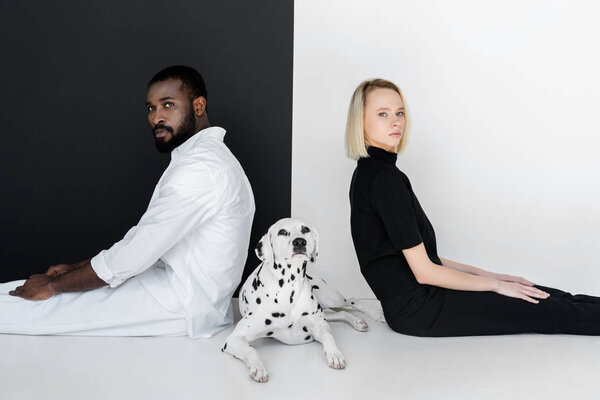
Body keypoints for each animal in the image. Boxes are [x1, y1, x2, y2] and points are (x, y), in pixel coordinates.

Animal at [221, 217, 384, 382]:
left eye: (305, 229)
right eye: (282, 231)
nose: (299, 242)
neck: (288, 289)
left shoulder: (319, 326)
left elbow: (328, 336)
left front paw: (334, 354)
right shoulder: (233, 339)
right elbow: (250, 351)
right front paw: (258, 367)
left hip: (331, 299)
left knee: (352, 300)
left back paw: (374, 314)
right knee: (341, 312)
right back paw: (358, 321)